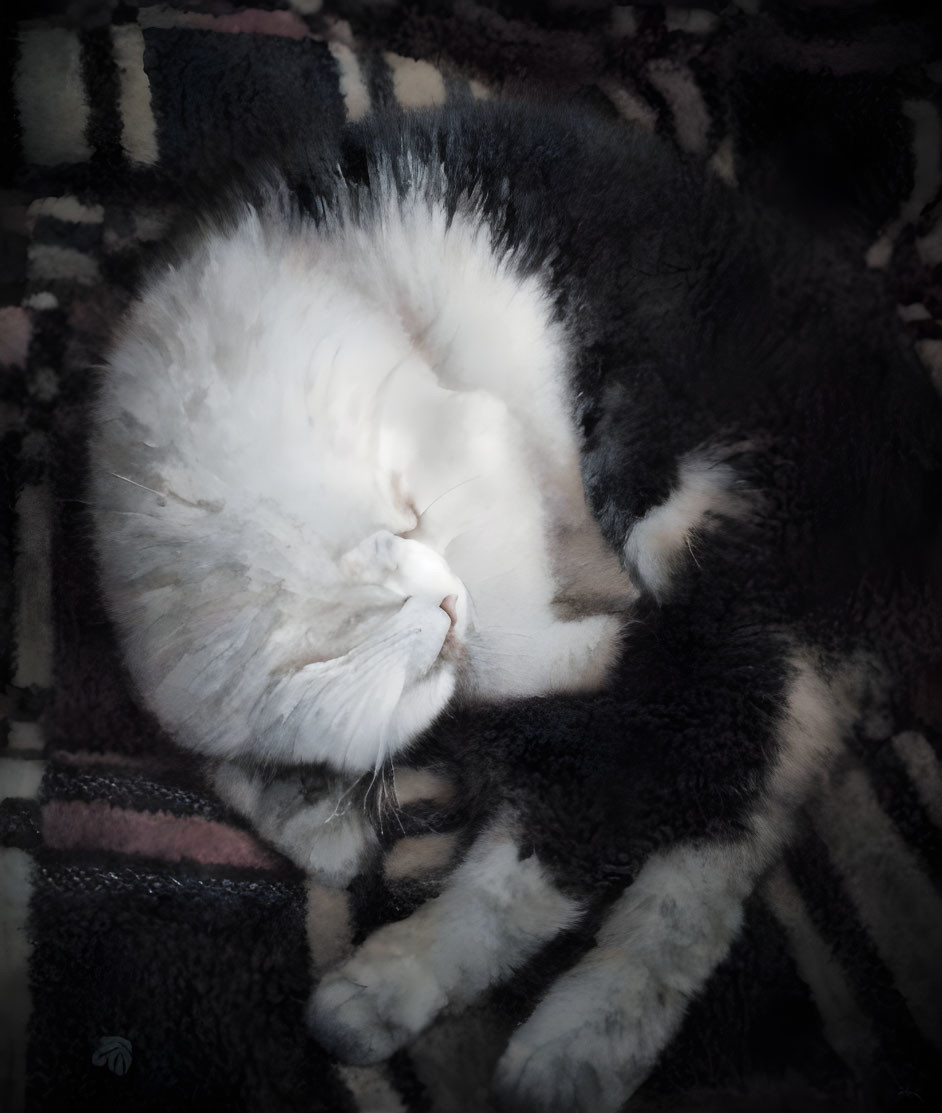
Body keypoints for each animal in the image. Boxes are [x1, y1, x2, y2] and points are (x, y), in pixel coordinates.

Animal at [88, 100, 942, 1108]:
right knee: (706, 820)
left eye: (400, 522)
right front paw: (320, 817)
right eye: (407, 678)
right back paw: (541, 1034)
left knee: (659, 779)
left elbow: (504, 595)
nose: (441, 614)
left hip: (711, 517)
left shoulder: (459, 440)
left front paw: (579, 638)